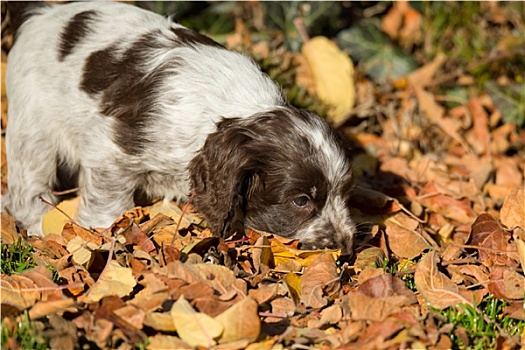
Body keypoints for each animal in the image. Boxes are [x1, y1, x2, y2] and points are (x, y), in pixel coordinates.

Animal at [3, 2, 356, 254]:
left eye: (345, 193)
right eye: (300, 201)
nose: (345, 247)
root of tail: (41, 13)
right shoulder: (112, 152)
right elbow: (109, 204)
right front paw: (100, 236)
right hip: (33, 126)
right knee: (27, 184)